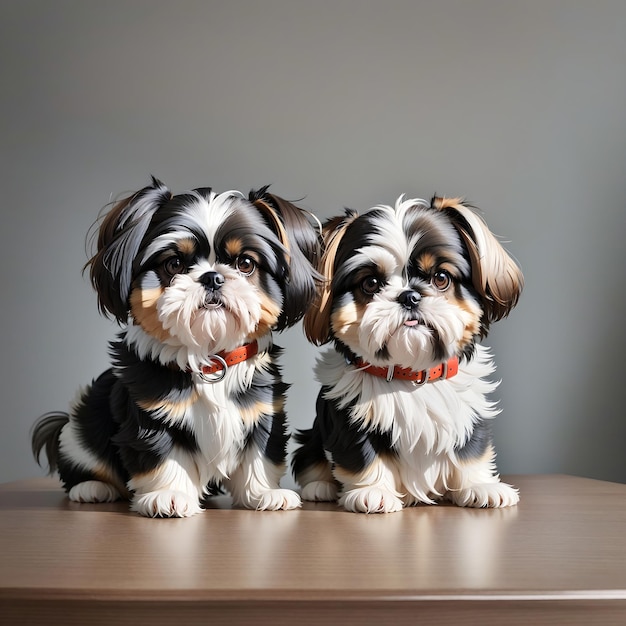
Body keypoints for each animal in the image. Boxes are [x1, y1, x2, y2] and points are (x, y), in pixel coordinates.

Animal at [31, 177, 320, 516]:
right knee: (84, 458)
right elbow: (164, 456)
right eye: (175, 264)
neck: (209, 355)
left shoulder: (261, 413)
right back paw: (92, 488)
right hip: (82, 423)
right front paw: (168, 496)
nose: (212, 277)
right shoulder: (152, 416)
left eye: (245, 263)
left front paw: (264, 494)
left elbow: (260, 455)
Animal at [292, 195, 520, 512]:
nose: (409, 296)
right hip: (311, 437)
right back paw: (319, 487)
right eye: (371, 283)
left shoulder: (469, 414)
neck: (410, 375)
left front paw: (480, 486)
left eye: (440, 278)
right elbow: (363, 456)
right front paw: (373, 491)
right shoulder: (351, 421)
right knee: (310, 459)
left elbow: (470, 452)